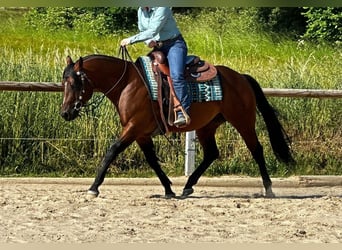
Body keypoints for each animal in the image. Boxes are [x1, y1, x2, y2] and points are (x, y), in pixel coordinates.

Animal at [60, 51, 292, 198]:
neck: (128, 83)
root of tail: (240, 77)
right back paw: (188, 186)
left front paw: (93, 187)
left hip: (243, 121)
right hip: (207, 126)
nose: (65, 113)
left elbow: (112, 151)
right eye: (63, 83)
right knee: (212, 153)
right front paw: (169, 189)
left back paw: (269, 189)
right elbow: (152, 161)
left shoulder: (133, 127)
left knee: (256, 149)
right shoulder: (141, 134)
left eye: (74, 83)